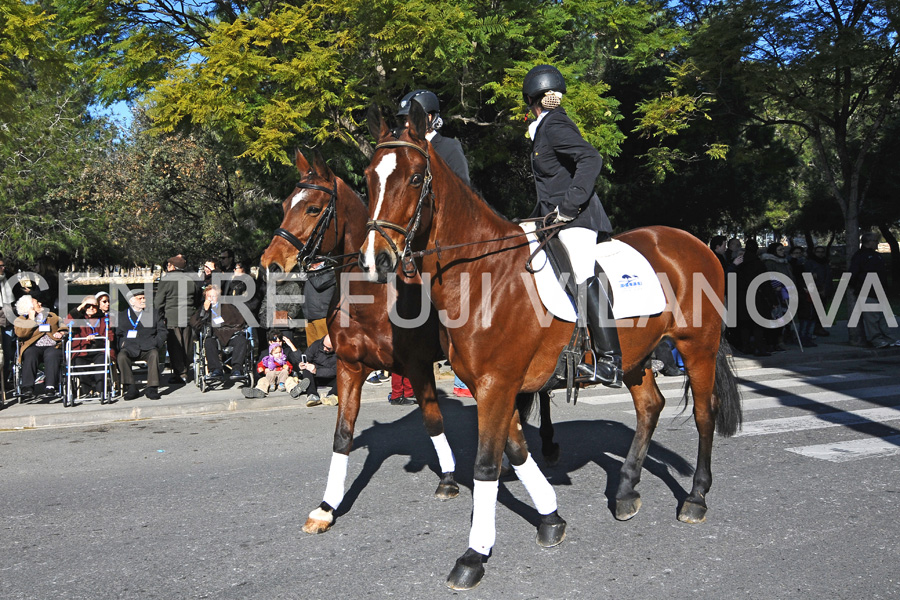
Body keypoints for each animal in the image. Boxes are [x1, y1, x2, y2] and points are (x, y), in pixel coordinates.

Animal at [256, 149, 560, 536]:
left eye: (312, 208)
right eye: (283, 205)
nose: (270, 262)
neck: (371, 297)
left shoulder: (417, 365)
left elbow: (433, 420)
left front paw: (447, 478)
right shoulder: (350, 366)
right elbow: (343, 433)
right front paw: (326, 507)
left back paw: (547, 444)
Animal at [358, 101, 744, 588]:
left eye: (412, 178)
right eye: (368, 177)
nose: (375, 261)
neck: (482, 275)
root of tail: (696, 242)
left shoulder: (498, 385)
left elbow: (487, 463)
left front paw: (474, 556)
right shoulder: (499, 386)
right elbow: (517, 451)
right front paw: (550, 519)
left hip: (696, 348)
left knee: (704, 413)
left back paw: (695, 498)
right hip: (637, 356)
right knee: (649, 407)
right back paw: (625, 491)